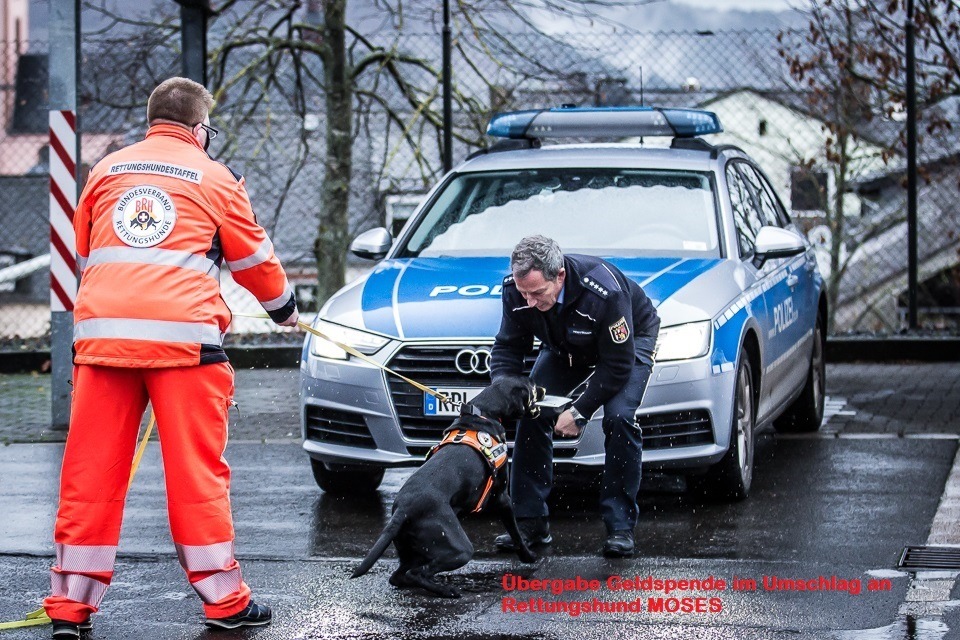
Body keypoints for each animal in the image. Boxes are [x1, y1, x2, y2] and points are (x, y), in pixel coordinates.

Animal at [352, 378, 548, 596]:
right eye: (532, 387)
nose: (543, 389)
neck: (484, 411)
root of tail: (402, 510)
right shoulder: (502, 497)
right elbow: (516, 534)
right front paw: (529, 557)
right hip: (460, 549)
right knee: (417, 573)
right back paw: (447, 590)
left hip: (414, 551)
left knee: (399, 576)